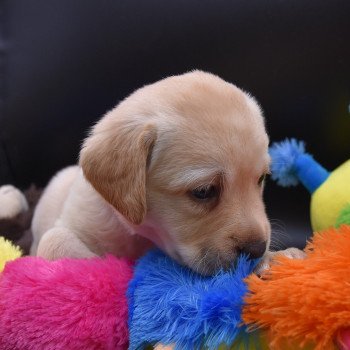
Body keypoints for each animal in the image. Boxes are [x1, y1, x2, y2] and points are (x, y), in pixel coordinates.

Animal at [30, 70, 304, 274]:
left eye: (261, 179)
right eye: (203, 191)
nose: (257, 248)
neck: (141, 237)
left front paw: (275, 258)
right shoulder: (71, 225)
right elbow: (55, 242)